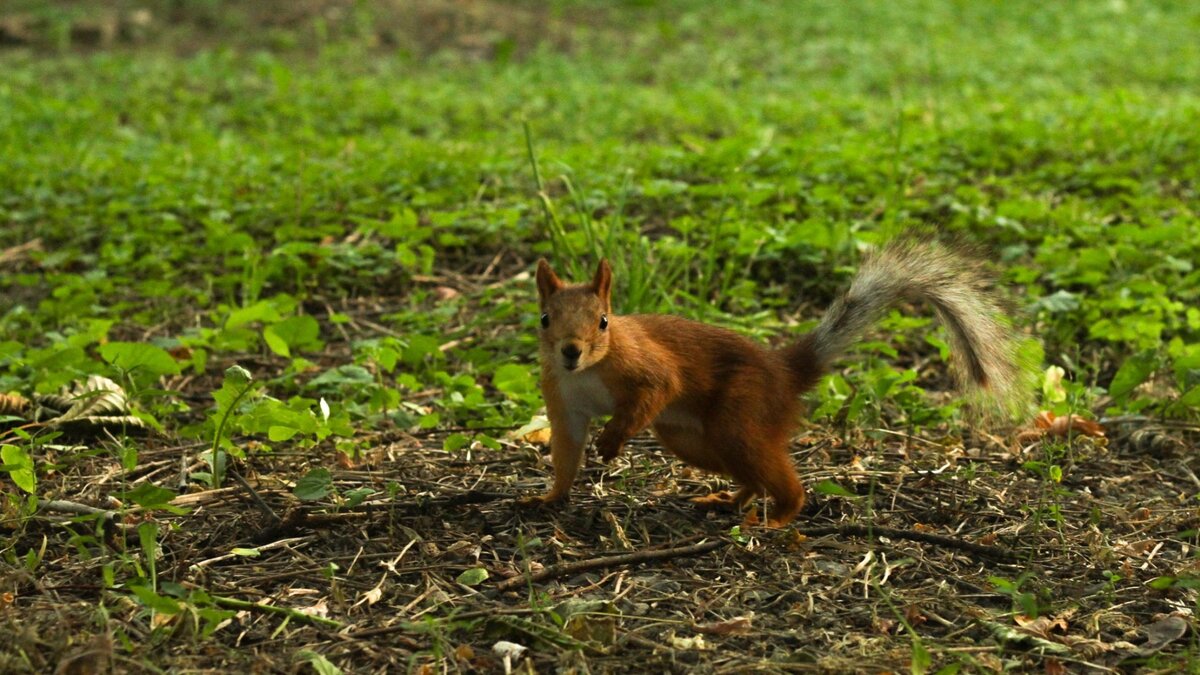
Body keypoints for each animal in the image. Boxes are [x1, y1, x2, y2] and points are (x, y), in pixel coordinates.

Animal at [523, 240, 1022, 526]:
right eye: (545, 318)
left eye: (603, 321)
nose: (570, 351)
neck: (587, 373)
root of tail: (784, 372)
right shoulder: (564, 403)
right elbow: (566, 453)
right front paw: (549, 497)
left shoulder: (646, 366)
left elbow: (656, 389)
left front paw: (613, 439)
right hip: (693, 438)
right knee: (749, 473)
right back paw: (729, 500)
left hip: (740, 414)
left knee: (775, 476)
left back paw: (780, 516)